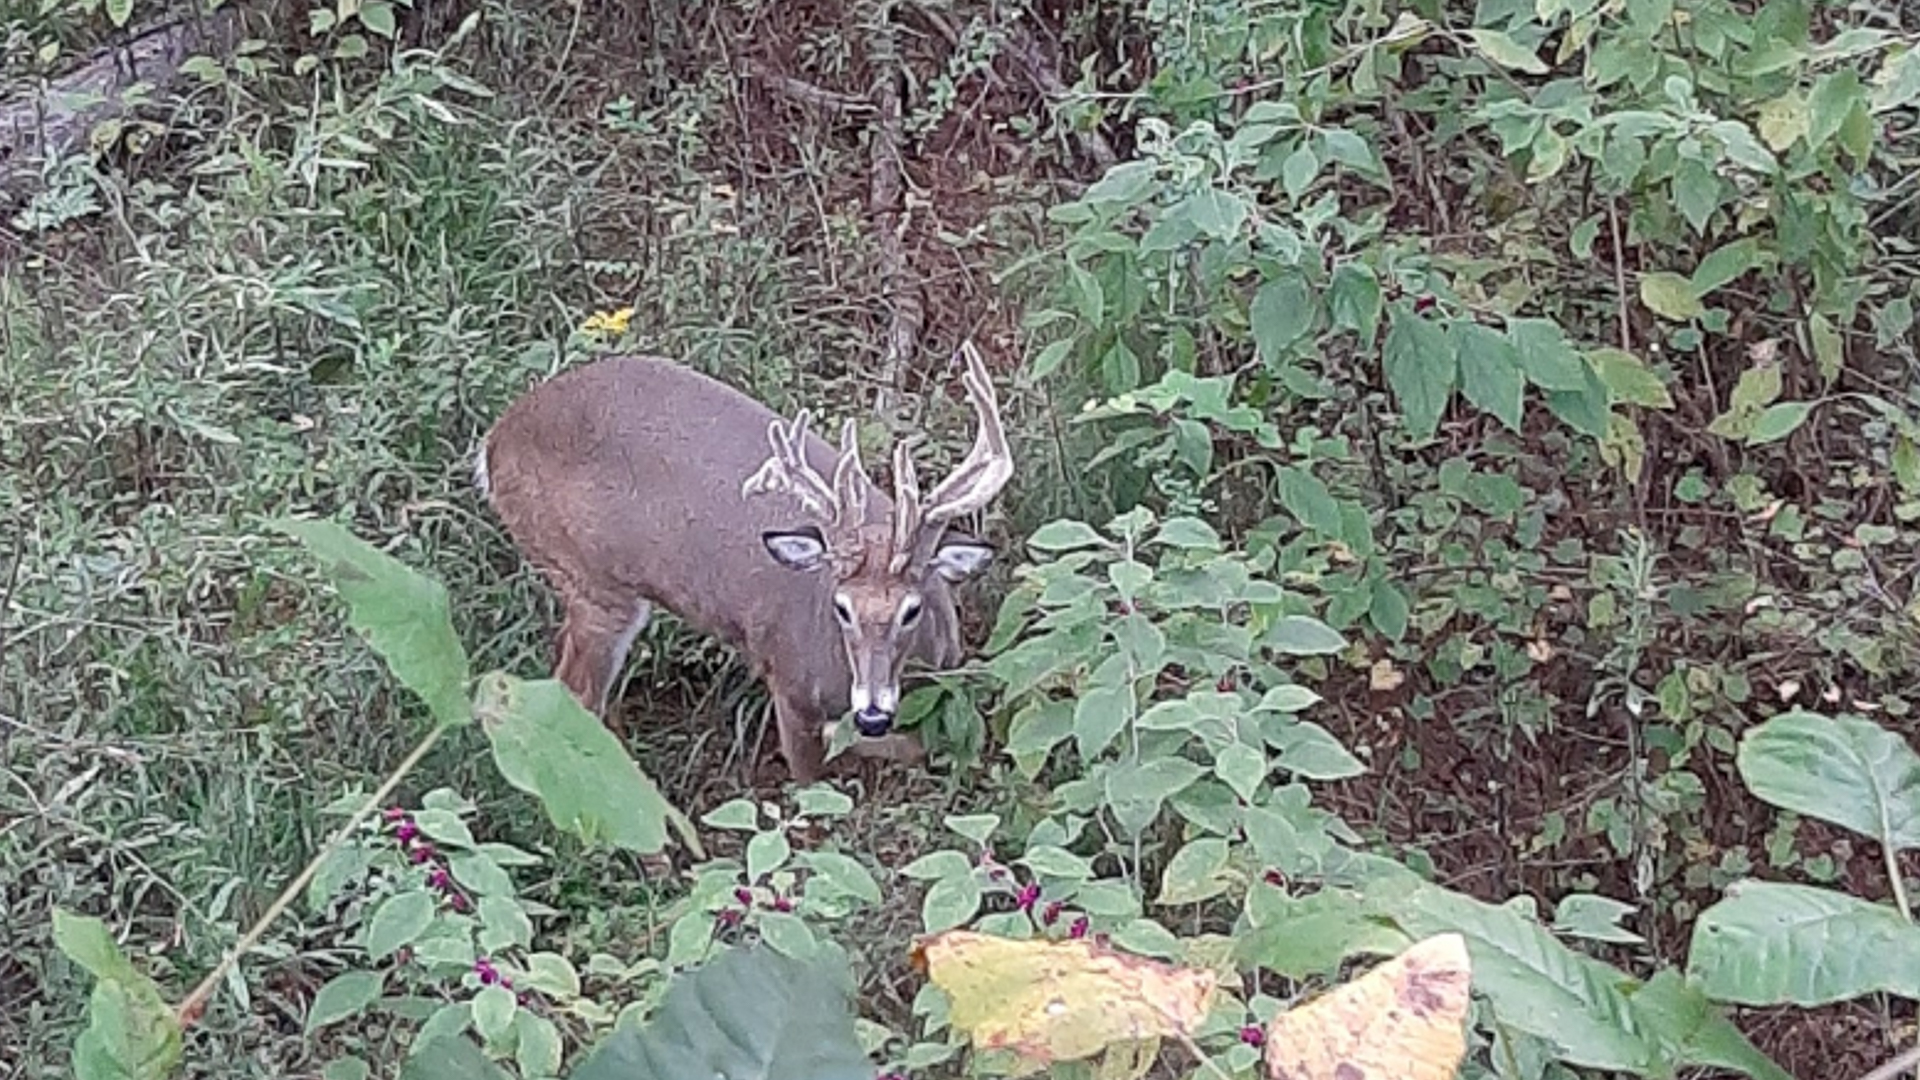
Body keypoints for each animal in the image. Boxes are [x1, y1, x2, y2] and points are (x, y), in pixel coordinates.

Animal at [472, 340, 1013, 776]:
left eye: (911, 609)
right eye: (841, 607)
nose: (873, 712)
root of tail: (494, 442)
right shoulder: (789, 685)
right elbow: (812, 780)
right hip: (594, 581)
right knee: (578, 693)